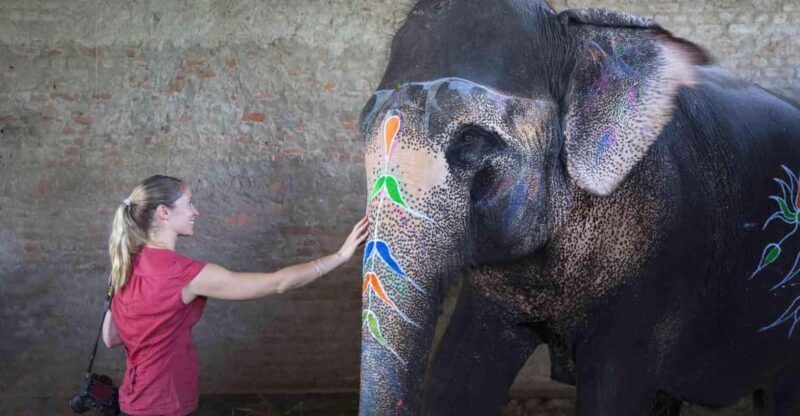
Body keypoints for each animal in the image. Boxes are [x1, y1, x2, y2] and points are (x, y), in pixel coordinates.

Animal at [357, 0, 800, 415]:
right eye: (363, 127)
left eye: (471, 140)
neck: (574, 39)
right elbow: (458, 372)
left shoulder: (659, 262)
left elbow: (612, 391)